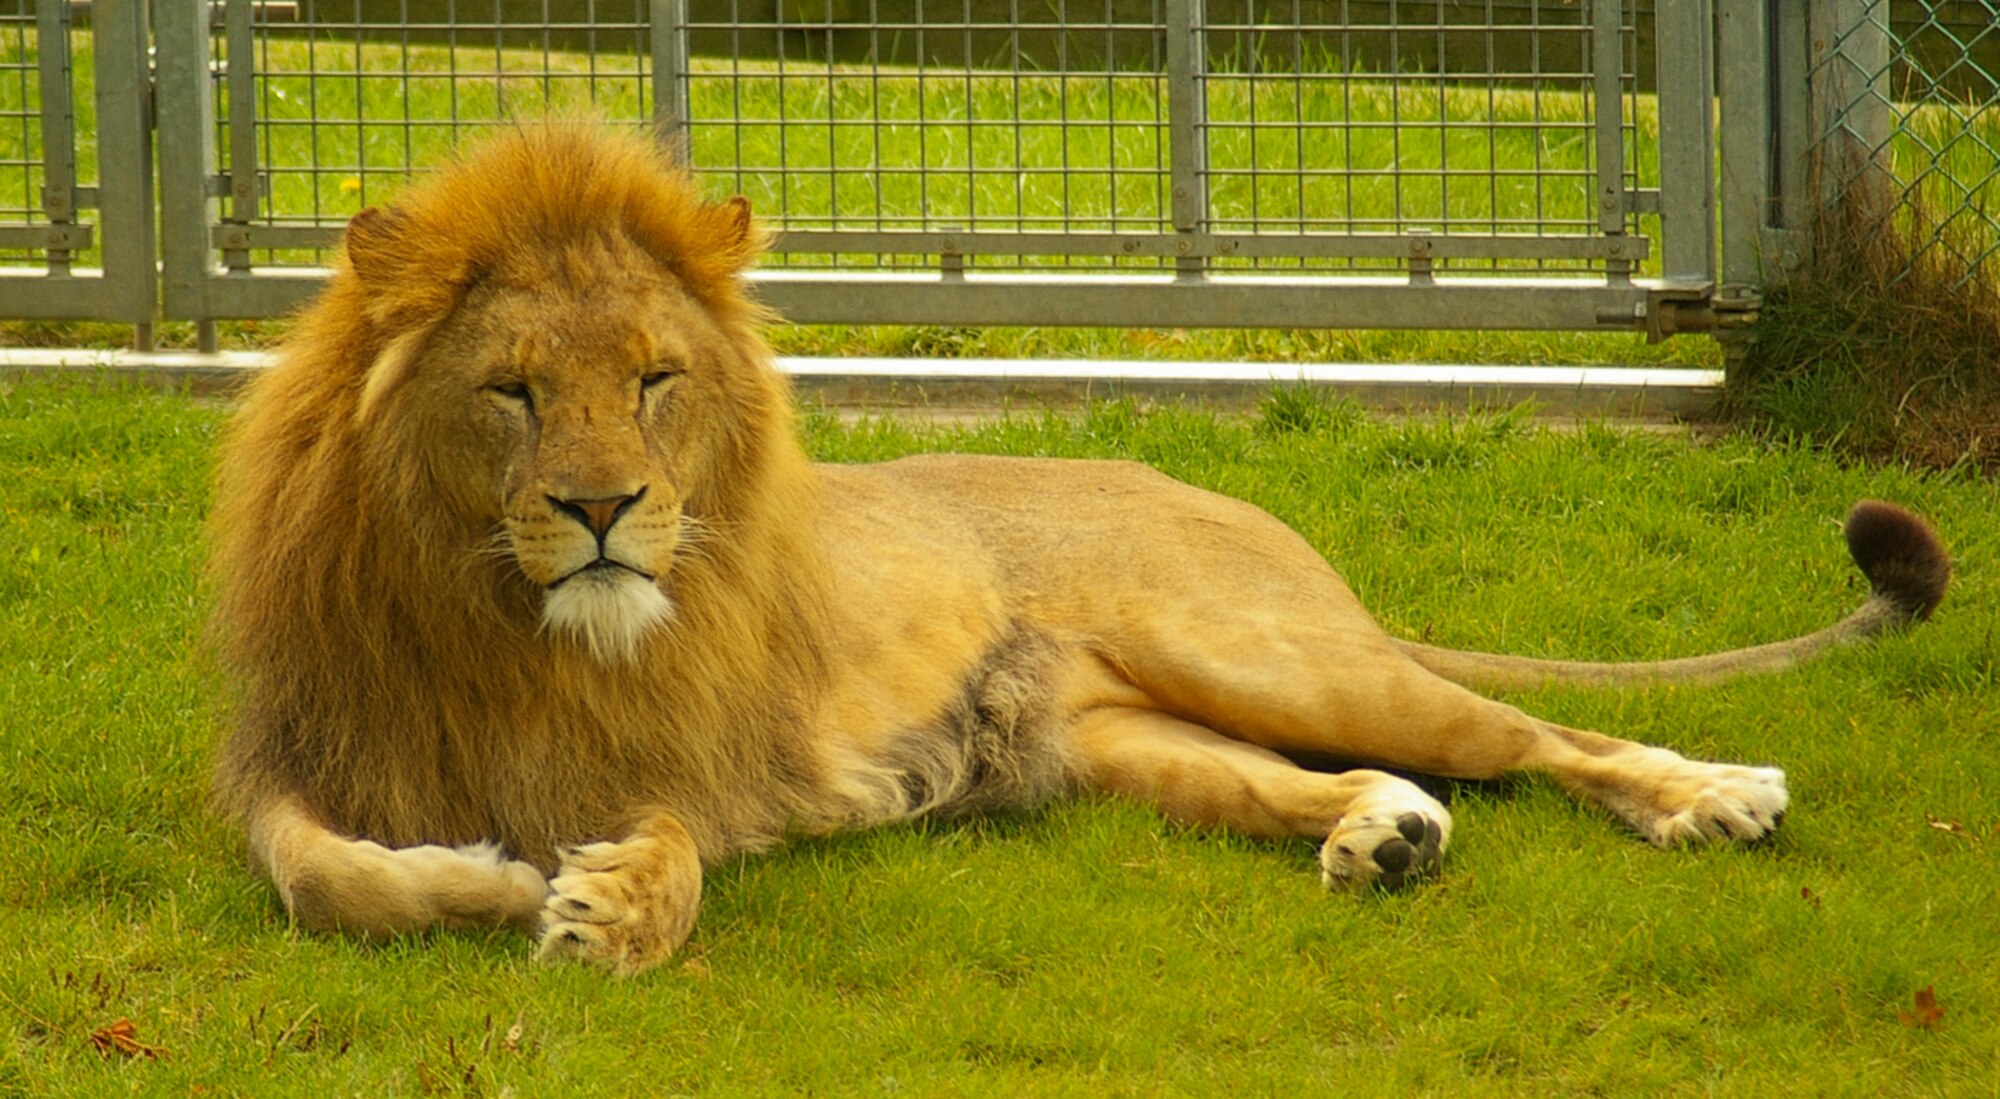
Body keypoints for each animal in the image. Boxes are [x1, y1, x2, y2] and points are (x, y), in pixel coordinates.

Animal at [211, 124, 1944, 979]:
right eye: (511, 391)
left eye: (651, 380)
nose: (603, 509)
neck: (500, 621)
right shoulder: (286, 757)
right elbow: (322, 877)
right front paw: (475, 875)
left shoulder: (717, 753)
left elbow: (681, 839)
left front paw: (609, 904)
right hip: (1117, 741)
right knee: (1355, 780)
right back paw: (1383, 837)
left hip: (1261, 647)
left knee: (1537, 734)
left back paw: (1714, 795)